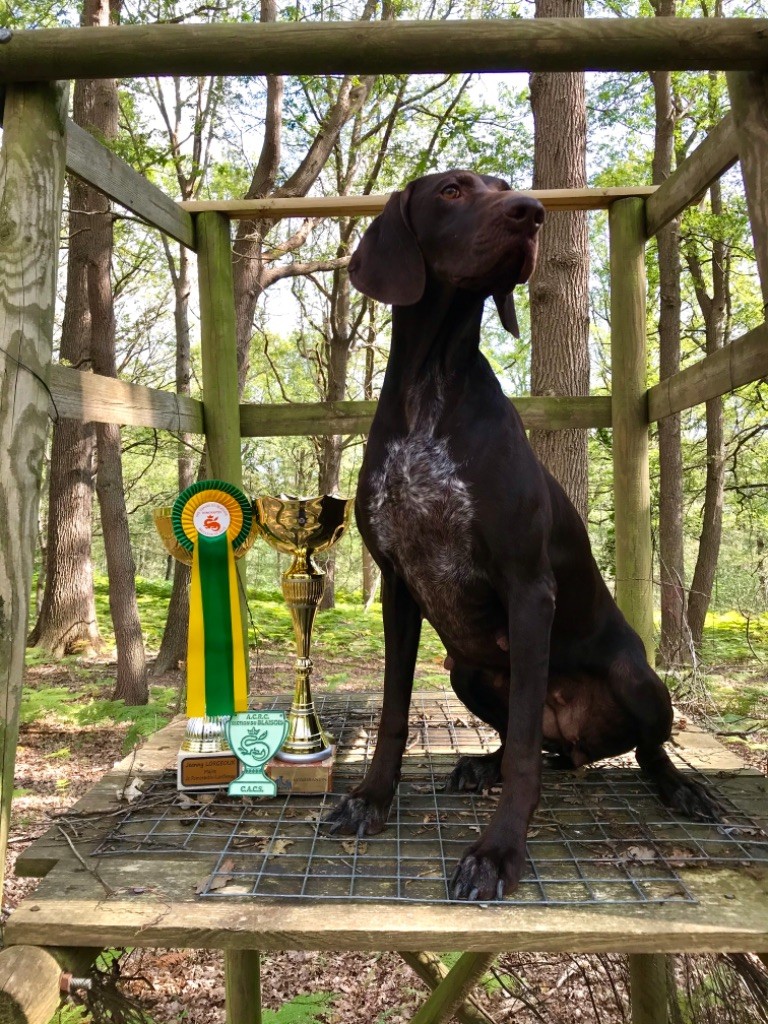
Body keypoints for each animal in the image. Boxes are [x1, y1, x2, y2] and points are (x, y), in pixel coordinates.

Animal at [323, 172, 716, 901]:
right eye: (453, 191)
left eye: (507, 188)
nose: (532, 213)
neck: (430, 389)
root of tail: (580, 740)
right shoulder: (397, 586)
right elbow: (393, 714)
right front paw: (371, 798)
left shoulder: (529, 589)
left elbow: (528, 759)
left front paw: (499, 851)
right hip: (468, 671)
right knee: (527, 742)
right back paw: (482, 763)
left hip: (640, 680)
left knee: (633, 746)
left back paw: (678, 789)